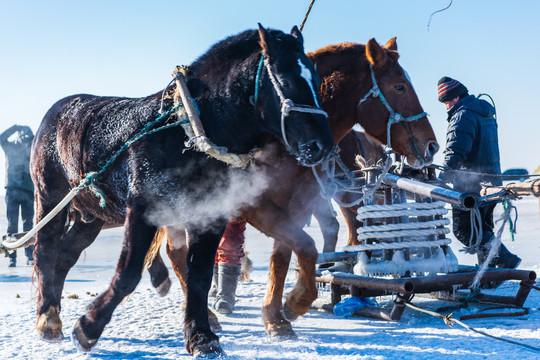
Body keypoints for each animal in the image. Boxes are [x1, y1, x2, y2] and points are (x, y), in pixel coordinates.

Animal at [30, 26, 334, 358]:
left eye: (317, 79)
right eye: (287, 80)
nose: (321, 145)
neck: (187, 133)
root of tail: (58, 109)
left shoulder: (210, 215)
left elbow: (200, 275)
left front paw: (201, 337)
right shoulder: (143, 210)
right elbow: (128, 273)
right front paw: (87, 329)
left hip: (93, 217)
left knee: (65, 256)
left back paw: (53, 313)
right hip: (50, 197)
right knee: (45, 251)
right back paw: (47, 320)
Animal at [150, 37, 436, 338]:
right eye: (399, 86)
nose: (431, 145)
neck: (282, 140)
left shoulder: (296, 206)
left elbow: (286, 255)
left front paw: (277, 316)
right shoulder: (254, 206)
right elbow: (305, 246)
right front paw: (296, 302)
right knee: (178, 254)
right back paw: (207, 314)